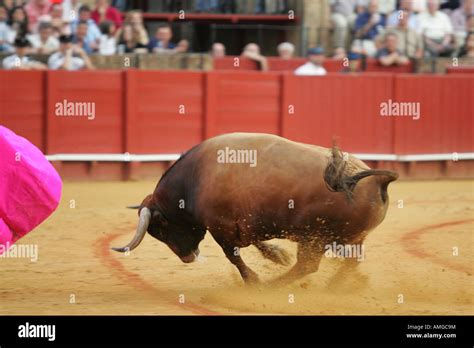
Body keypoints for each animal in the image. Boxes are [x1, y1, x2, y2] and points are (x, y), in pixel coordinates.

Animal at [113, 132, 398, 284]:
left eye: (160, 229)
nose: (187, 258)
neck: (194, 180)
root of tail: (376, 179)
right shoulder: (247, 223)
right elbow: (255, 243)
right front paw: (277, 256)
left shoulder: (222, 228)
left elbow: (233, 255)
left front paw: (254, 281)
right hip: (349, 238)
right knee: (351, 262)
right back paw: (338, 287)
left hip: (315, 238)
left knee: (307, 266)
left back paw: (273, 286)